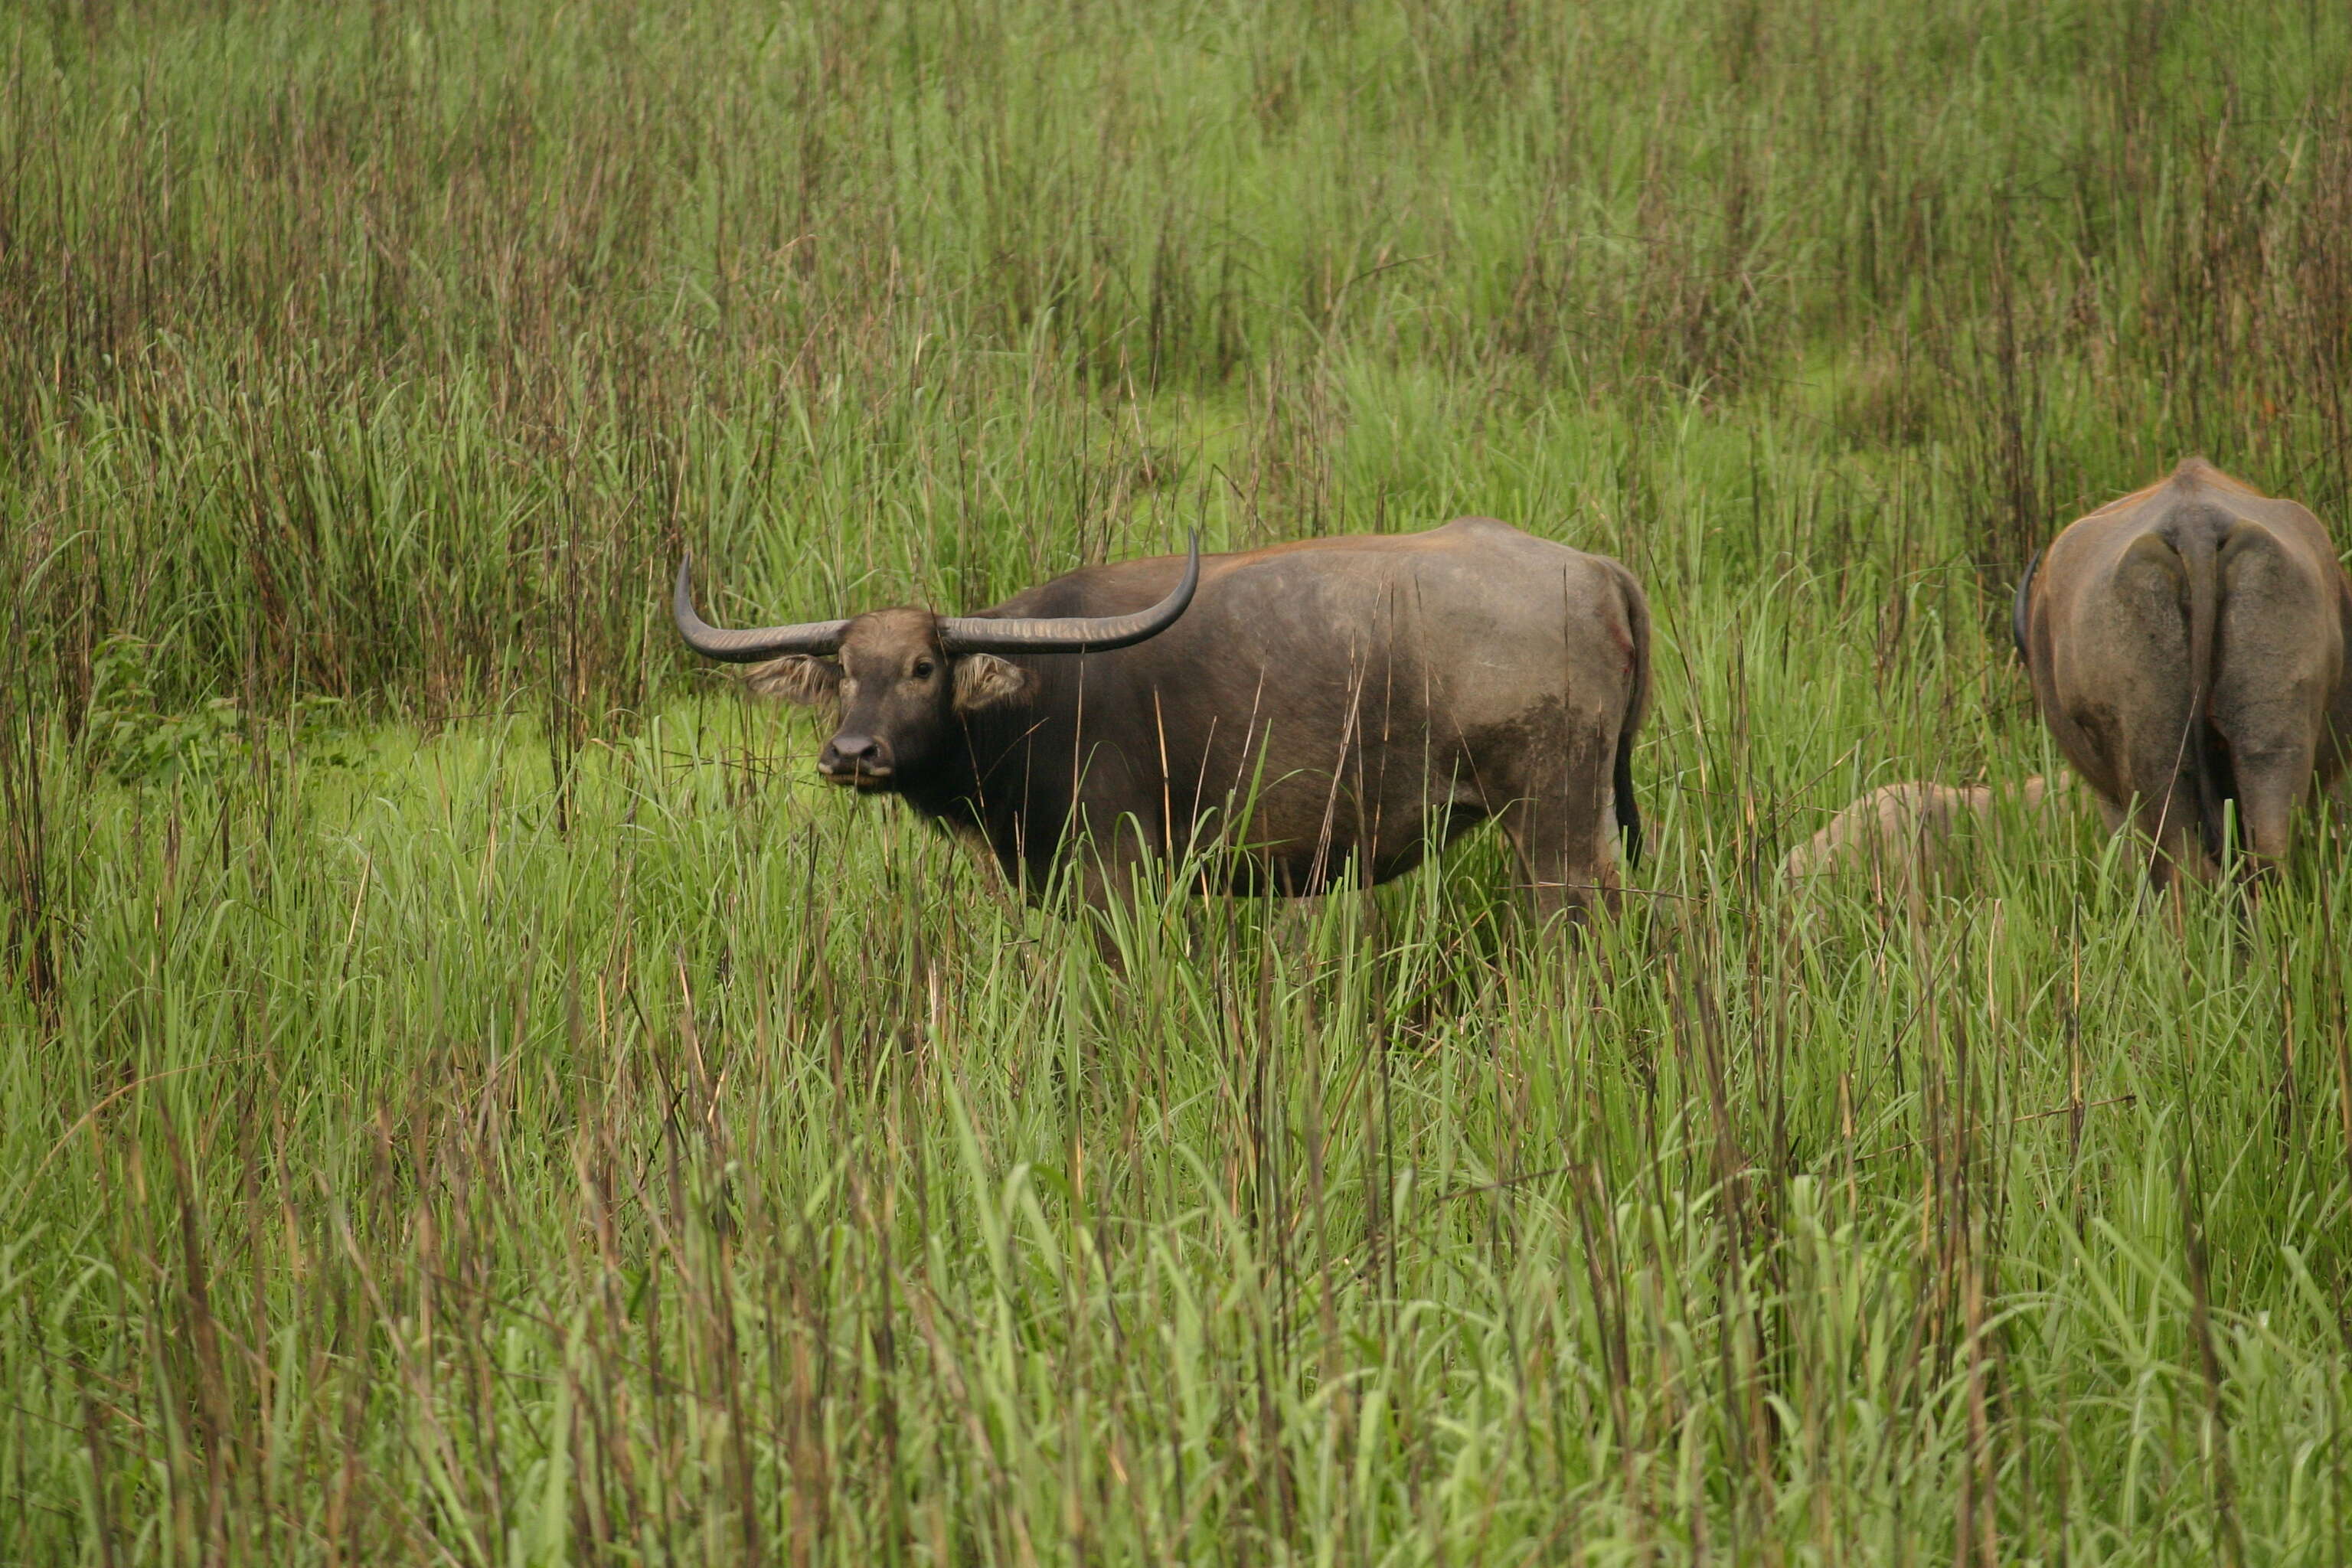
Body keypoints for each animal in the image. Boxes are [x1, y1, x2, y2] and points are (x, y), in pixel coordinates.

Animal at [672, 521, 1646, 926]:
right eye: (845, 671)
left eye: (923, 668)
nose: (852, 752)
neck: (1027, 711)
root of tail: (1593, 568)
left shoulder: (1122, 876)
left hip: (1552, 827)